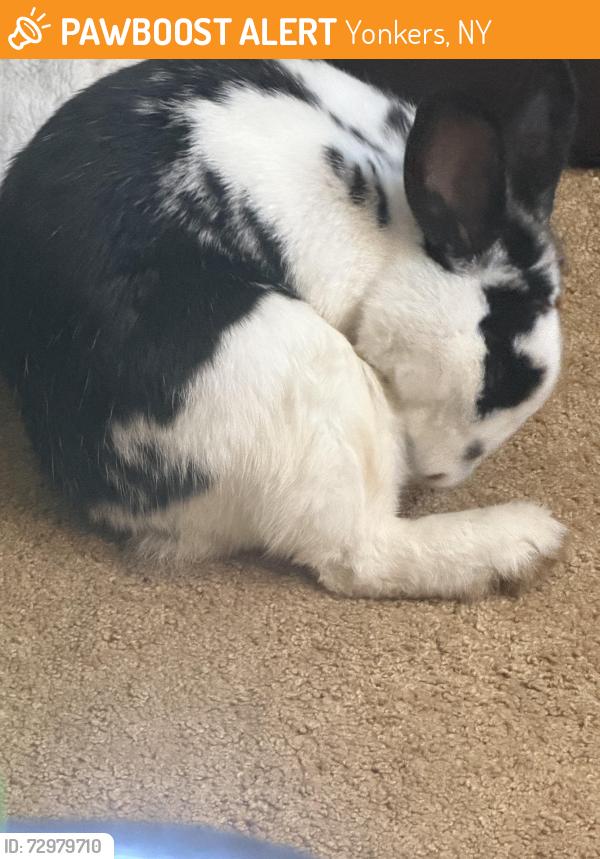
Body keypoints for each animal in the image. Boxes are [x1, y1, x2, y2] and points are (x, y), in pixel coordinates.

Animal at [0, 59, 576, 600]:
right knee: (359, 555)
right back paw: (526, 540)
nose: (443, 475)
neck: (391, 238)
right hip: (306, 370)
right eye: (497, 370)